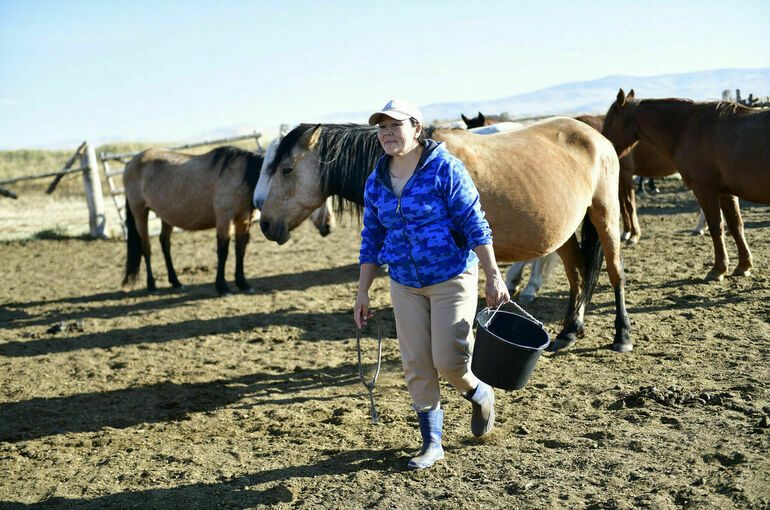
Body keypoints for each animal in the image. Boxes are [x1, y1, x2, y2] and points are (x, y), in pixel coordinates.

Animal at [121, 144, 332, 294]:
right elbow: (223, 250)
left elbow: (240, 249)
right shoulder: (224, 217)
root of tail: (131, 163)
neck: (244, 175)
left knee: (165, 244)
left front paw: (243, 283)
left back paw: (176, 282)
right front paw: (222, 286)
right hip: (140, 213)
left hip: (166, 216)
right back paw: (152, 285)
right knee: (146, 247)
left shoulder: (243, 219)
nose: (329, 227)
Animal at [256, 120, 632, 352]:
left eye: (286, 169)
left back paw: (622, 334)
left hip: (605, 214)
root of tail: (595, 135)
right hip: (563, 231)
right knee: (578, 275)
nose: (265, 222)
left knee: (615, 273)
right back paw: (569, 331)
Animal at [604, 90, 764, 282]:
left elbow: (716, 226)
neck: (686, 129)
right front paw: (743, 265)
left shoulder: (705, 189)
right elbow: (735, 225)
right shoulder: (726, 192)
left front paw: (718, 269)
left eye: (609, 121)